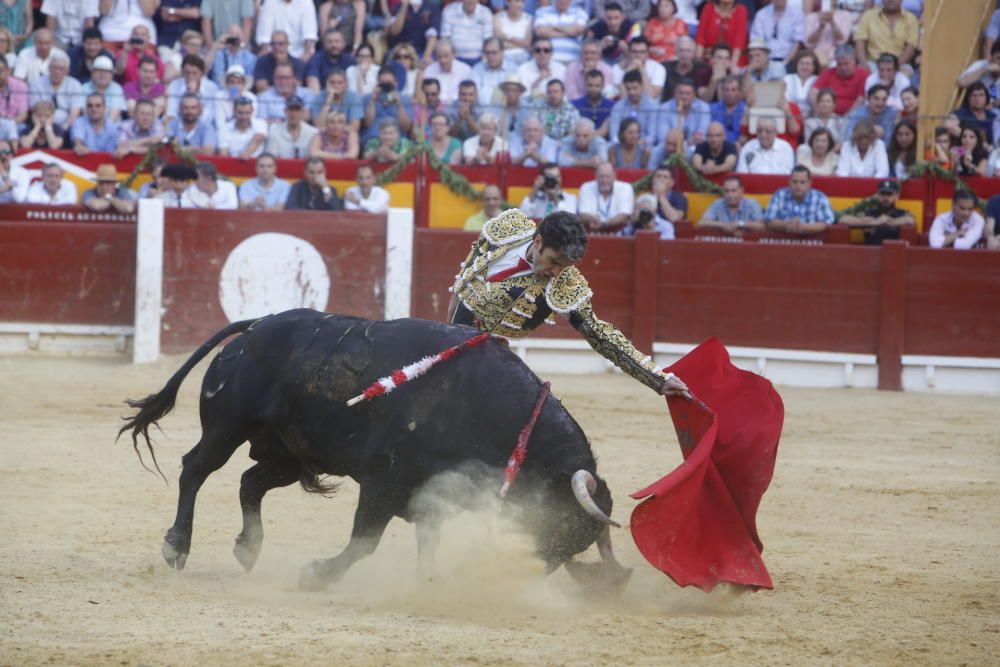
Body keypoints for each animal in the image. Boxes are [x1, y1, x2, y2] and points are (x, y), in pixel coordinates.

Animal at [121, 308, 628, 588]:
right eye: (561, 522)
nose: (533, 572)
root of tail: (255, 328)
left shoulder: (431, 492)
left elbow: (427, 541)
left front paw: (428, 584)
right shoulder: (384, 480)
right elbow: (365, 540)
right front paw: (316, 575)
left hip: (289, 452)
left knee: (250, 483)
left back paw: (249, 548)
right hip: (227, 426)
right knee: (195, 470)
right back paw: (177, 546)